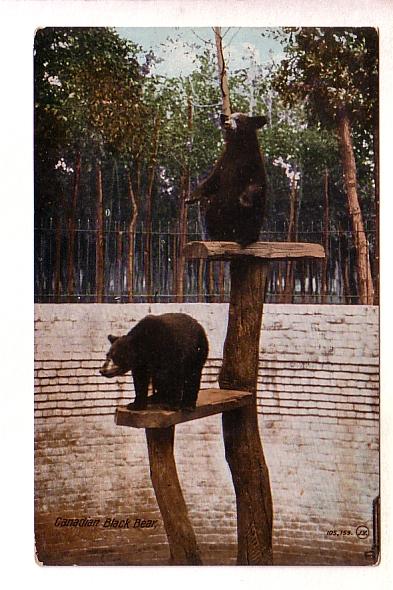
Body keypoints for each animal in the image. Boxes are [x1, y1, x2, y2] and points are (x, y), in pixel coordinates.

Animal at [189, 112, 266, 247]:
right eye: (229, 117)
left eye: (238, 119)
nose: (227, 123)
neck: (237, 148)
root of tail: (231, 236)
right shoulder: (223, 163)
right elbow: (211, 181)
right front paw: (191, 197)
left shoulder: (253, 164)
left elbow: (256, 184)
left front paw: (244, 199)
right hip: (217, 211)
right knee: (211, 212)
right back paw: (217, 237)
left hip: (252, 218)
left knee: (252, 218)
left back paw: (245, 238)